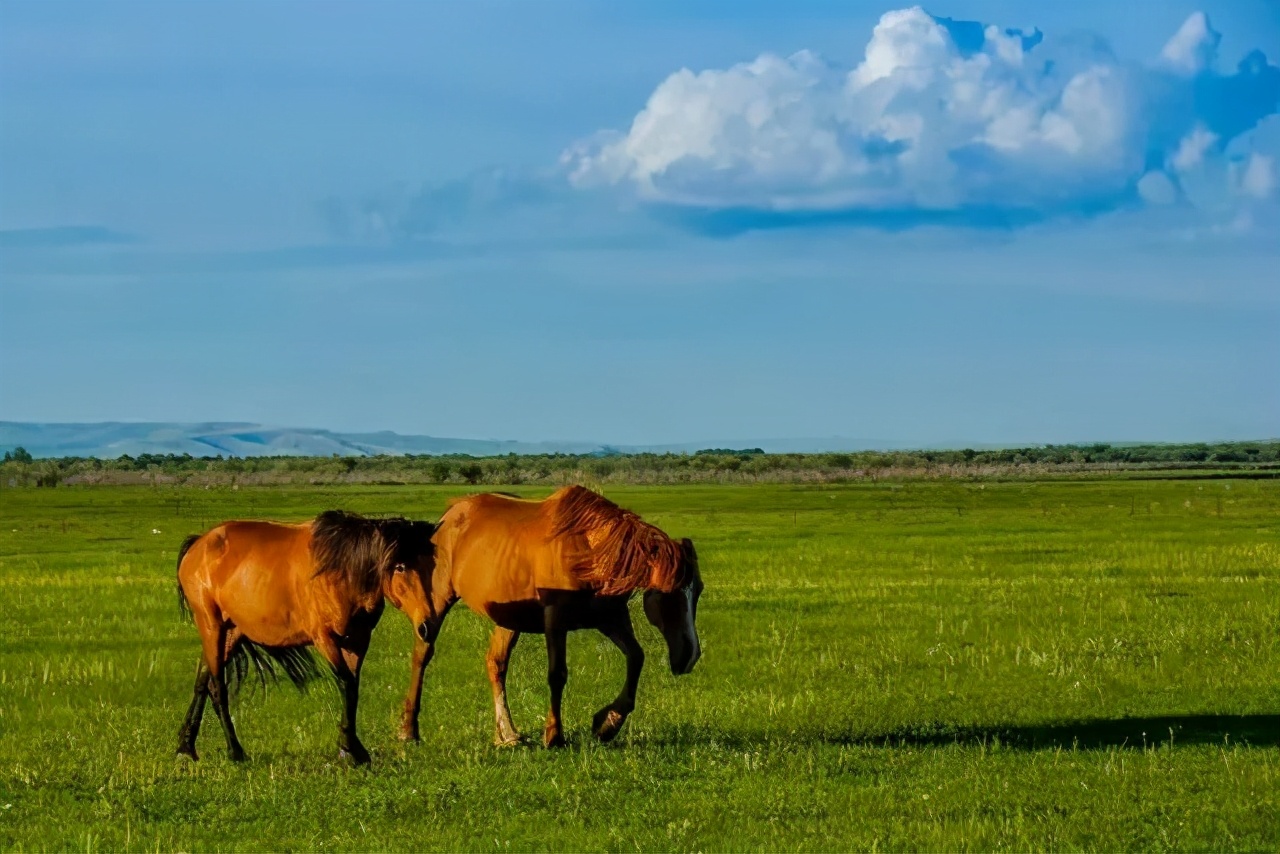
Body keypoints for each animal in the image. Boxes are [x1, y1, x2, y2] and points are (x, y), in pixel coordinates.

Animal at [175, 512, 437, 763]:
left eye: (431, 566)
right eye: (400, 566)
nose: (427, 626)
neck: (341, 570)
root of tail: (197, 544)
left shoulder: (357, 641)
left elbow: (353, 688)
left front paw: (351, 747)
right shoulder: (326, 639)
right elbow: (345, 684)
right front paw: (350, 751)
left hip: (230, 633)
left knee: (203, 683)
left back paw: (185, 748)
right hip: (211, 627)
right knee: (218, 687)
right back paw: (235, 751)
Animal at [399, 486, 706, 747]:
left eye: (698, 590)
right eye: (668, 593)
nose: (690, 656)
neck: (589, 552)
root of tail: (451, 514)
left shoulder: (609, 619)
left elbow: (636, 658)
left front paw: (607, 724)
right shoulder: (556, 621)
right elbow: (557, 674)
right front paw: (554, 735)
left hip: (509, 619)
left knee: (495, 664)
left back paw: (506, 735)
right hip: (436, 601)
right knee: (422, 654)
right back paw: (409, 730)